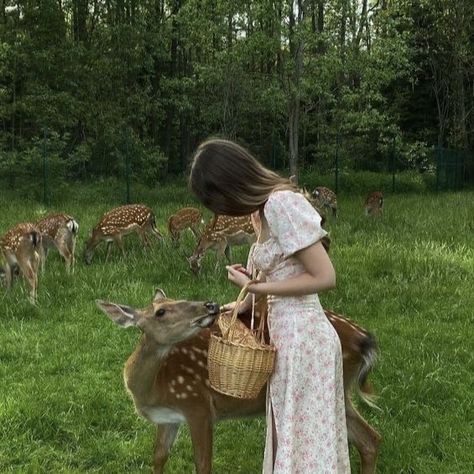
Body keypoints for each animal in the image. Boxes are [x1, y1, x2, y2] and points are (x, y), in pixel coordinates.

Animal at [96, 290, 382, 474]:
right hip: (341, 391)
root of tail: (364, 339)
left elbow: (202, 463)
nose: (210, 305)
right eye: (161, 310)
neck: (153, 390)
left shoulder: (197, 405)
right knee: (370, 439)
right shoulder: (169, 418)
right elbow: (158, 457)